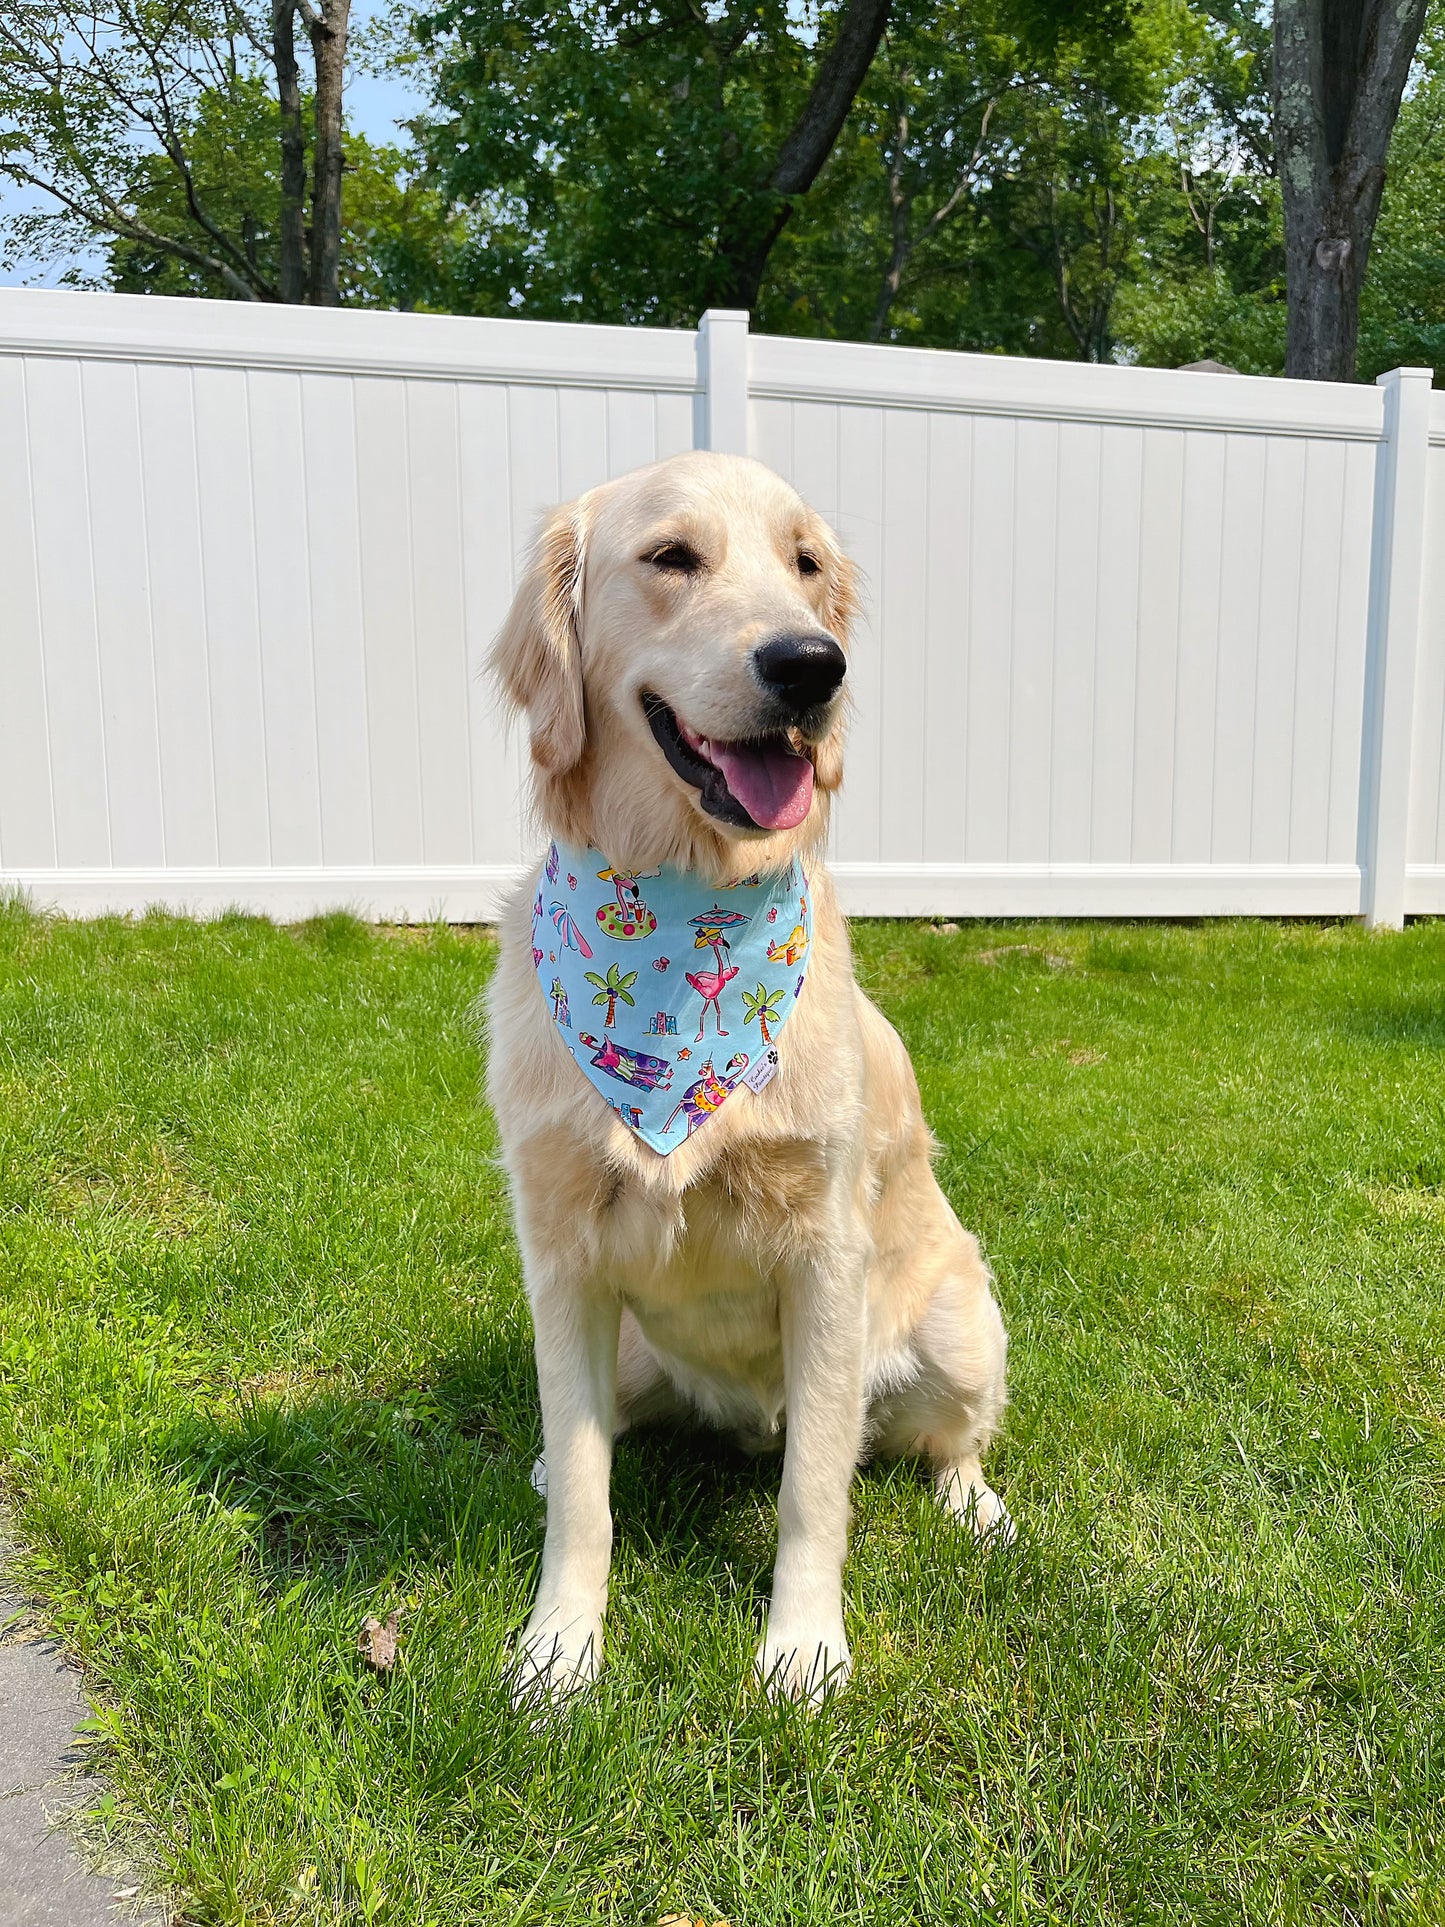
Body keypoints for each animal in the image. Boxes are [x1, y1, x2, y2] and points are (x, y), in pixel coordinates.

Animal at [487, 447, 1009, 1703]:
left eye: (805, 563)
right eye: (670, 556)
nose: (810, 665)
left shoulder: (823, 1256)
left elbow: (814, 1488)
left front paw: (802, 1647)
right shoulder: (560, 1259)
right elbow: (586, 1497)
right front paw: (559, 1649)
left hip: (958, 1323)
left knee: (952, 1439)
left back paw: (974, 1505)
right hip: (633, 1351)